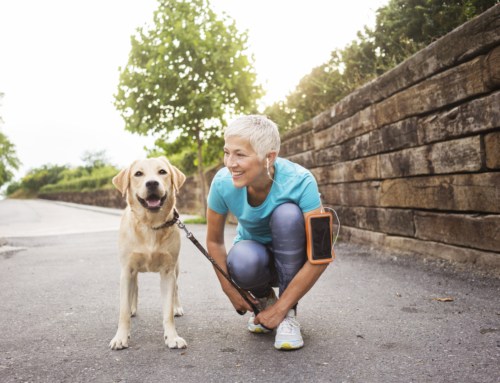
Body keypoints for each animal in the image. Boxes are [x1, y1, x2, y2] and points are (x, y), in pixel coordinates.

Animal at [109, 157, 188, 352]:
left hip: (176, 268)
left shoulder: (167, 272)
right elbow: (123, 310)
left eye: (162, 172)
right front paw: (121, 337)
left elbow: (167, 311)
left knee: (176, 288)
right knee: (135, 287)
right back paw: (132, 307)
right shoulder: (127, 270)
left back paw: (177, 307)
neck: (150, 225)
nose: (152, 183)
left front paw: (172, 337)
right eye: (138, 173)